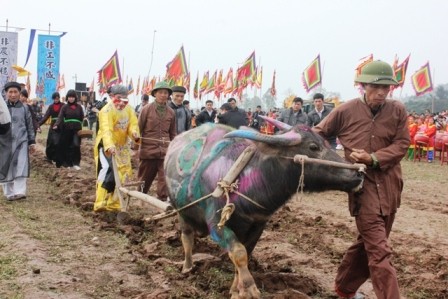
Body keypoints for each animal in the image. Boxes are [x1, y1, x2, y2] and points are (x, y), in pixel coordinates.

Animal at [164, 118, 364, 299]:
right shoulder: (216, 225)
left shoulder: (258, 225)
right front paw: (249, 289)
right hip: (181, 212)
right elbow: (239, 253)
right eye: (313, 147)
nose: (358, 174)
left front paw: (236, 290)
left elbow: (246, 253)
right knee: (187, 237)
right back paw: (187, 267)